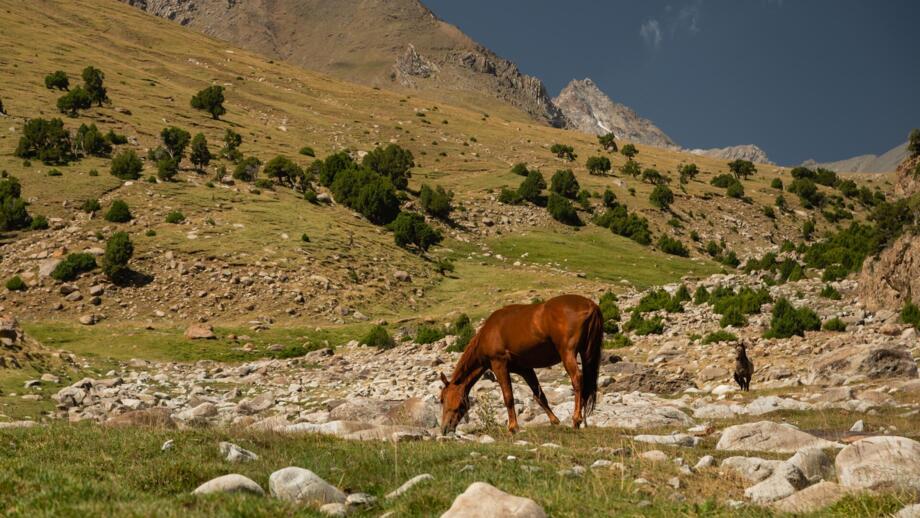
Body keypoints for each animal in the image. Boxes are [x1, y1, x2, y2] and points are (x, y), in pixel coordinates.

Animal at [438, 294, 604, 435]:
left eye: (442, 399)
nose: (444, 429)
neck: (488, 333)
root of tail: (590, 305)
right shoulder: (526, 369)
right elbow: (539, 396)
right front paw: (554, 421)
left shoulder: (499, 365)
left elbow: (508, 397)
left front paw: (513, 427)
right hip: (586, 353)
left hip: (568, 353)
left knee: (577, 379)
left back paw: (576, 420)